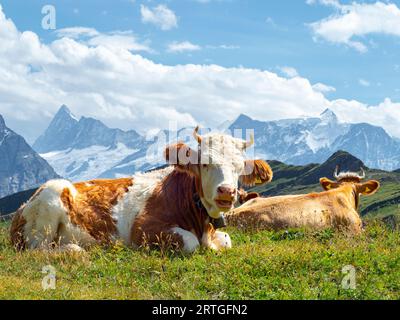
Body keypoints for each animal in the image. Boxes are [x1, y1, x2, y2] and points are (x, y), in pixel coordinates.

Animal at [10, 127, 272, 252]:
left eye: (239, 167)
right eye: (205, 164)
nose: (226, 191)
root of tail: (23, 206)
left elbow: (227, 240)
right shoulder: (143, 229)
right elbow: (190, 242)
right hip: (44, 217)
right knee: (40, 250)